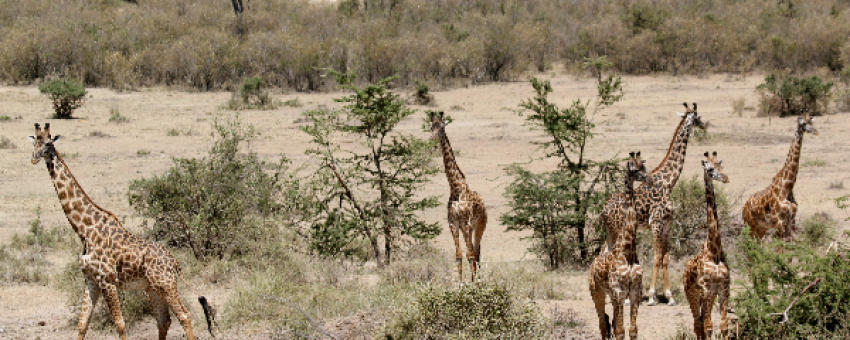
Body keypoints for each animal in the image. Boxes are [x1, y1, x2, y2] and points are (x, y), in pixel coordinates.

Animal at [28, 123, 214, 340]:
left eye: (48, 143)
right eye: (35, 142)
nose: (34, 158)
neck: (85, 231)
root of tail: (174, 262)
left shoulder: (107, 280)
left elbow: (120, 324)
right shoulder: (90, 280)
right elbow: (82, 324)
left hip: (165, 284)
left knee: (184, 316)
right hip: (152, 287)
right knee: (164, 320)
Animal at [428, 111, 486, 282]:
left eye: (441, 128)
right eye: (431, 127)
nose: (432, 139)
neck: (456, 190)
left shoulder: (465, 223)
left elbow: (470, 255)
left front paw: (471, 284)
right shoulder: (453, 224)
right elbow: (459, 255)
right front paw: (460, 284)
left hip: (480, 225)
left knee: (476, 253)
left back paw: (477, 281)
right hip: (470, 228)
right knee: (474, 251)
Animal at [588, 152, 644, 340]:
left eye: (644, 165)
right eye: (634, 168)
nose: (646, 177)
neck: (629, 251)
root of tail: (592, 264)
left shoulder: (634, 293)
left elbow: (632, 330)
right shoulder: (619, 292)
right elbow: (620, 331)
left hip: (611, 297)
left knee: (609, 321)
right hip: (596, 292)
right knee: (602, 324)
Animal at [600, 102, 704, 306]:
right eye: (697, 117)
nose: (704, 125)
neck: (668, 182)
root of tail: (603, 211)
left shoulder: (667, 225)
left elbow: (665, 258)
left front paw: (669, 296)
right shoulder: (656, 222)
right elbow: (656, 257)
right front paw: (651, 296)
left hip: (610, 231)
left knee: (605, 254)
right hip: (617, 230)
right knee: (613, 256)